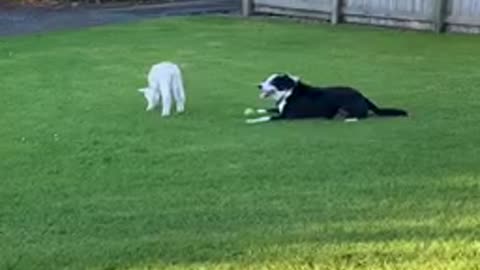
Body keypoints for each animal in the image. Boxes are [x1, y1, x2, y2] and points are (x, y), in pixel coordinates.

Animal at [246, 74, 406, 124]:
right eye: (267, 79)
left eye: (274, 82)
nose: (259, 86)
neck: (288, 92)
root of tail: (362, 95)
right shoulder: (279, 109)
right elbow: (267, 110)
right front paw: (252, 111)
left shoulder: (286, 116)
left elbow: (268, 117)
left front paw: (252, 120)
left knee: (363, 116)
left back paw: (348, 119)